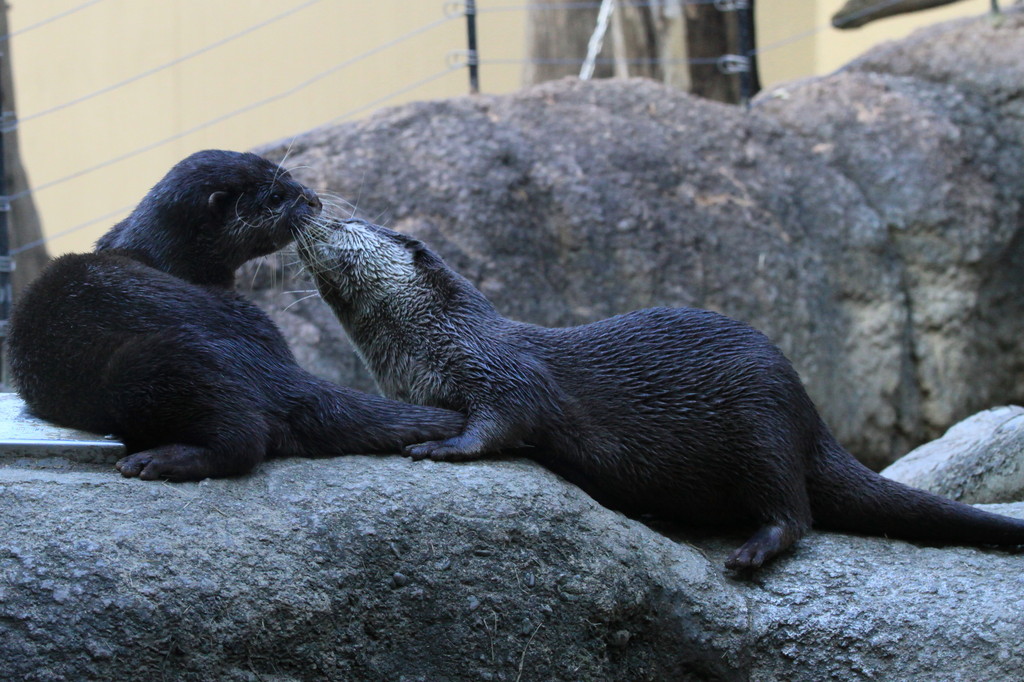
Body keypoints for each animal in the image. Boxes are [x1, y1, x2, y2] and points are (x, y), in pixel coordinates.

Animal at [7, 150, 464, 477]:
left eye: (289, 175)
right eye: (276, 197)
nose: (315, 200)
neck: (165, 260)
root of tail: (277, 371)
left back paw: (156, 459)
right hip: (151, 362)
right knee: (247, 438)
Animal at [294, 216, 1024, 569]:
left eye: (350, 224)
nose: (310, 212)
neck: (428, 345)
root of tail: (811, 418)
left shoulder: (503, 371)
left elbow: (502, 422)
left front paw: (440, 447)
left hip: (760, 423)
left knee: (796, 513)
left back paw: (750, 554)